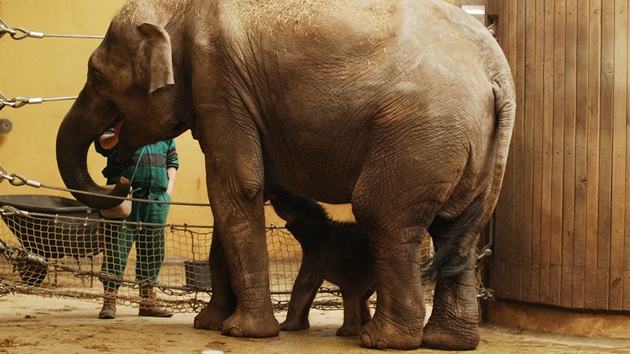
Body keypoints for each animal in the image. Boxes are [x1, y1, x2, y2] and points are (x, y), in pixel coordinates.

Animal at [270, 189, 378, 336]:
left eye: (292, 201)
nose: (273, 191)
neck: (322, 226)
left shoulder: (318, 252)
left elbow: (304, 281)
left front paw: (284, 327)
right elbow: (313, 284)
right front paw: (301, 327)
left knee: (351, 290)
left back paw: (346, 332)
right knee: (363, 294)